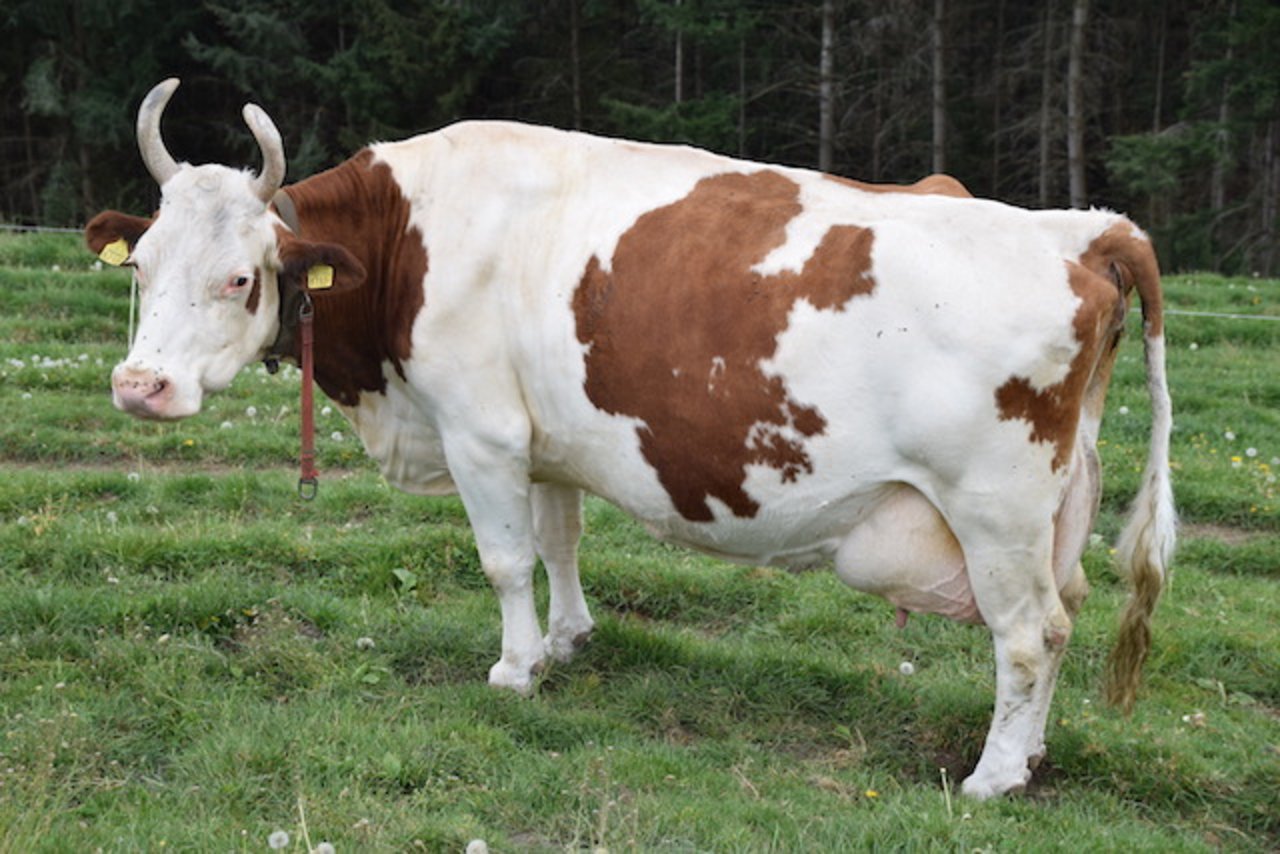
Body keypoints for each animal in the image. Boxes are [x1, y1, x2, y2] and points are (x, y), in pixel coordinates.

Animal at [85, 80, 1172, 804]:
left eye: (239, 277)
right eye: (139, 263)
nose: (140, 386)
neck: (412, 236)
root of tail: (1081, 230)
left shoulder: (480, 429)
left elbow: (504, 557)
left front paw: (514, 669)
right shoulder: (544, 437)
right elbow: (558, 541)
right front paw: (566, 640)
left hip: (993, 510)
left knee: (1029, 634)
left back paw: (993, 775)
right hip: (1052, 513)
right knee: (1066, 614)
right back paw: (1031, 754)